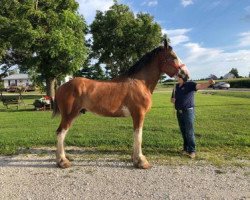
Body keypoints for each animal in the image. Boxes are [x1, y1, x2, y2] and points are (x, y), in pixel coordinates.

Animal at [53, 39, 189, 169]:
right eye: (173, 57)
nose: (186, 75)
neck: (140, 83)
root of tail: (61, 87)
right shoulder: (139, 114)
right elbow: (138, 136)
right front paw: (141, 161)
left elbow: (135, 136)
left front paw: (135, 159)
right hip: (69, 115)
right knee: (60, 133)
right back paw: (62, 161)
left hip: (75, 114)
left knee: (62, 133)